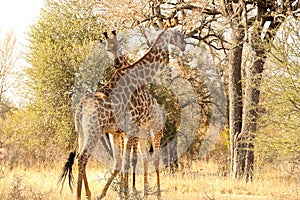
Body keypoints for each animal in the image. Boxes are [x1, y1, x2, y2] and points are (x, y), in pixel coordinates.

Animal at [59, 21, 185, 199]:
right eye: (177, 33)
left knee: (80, 156)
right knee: (83, 157)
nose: (183, 44)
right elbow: (127, 162)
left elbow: (123, 162)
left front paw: (122, 193)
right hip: (96, 131)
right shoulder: (131, 128)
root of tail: (81, 108)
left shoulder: (120, 131)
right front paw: (126, 194)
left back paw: (90, 194)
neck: (138, 79)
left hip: (83, 131)